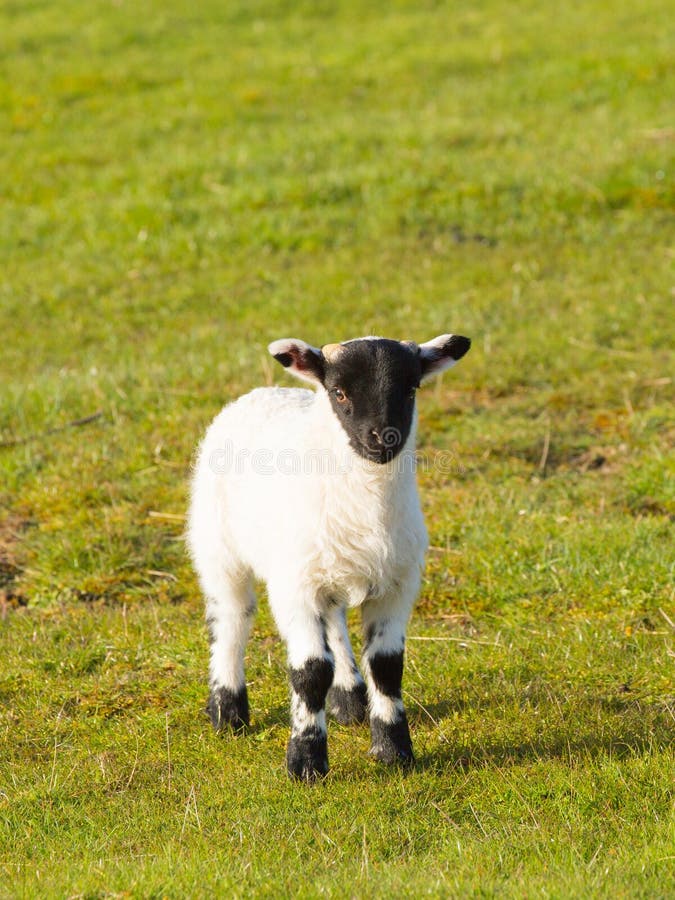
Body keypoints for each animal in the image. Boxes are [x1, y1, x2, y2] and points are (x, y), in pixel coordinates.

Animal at [187, 333, 471, 780]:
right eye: (339, 392)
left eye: (411, 389)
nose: (383, 438)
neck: (366, 505)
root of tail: (264, 391)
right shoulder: (295, 588)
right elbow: (309, 672)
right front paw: (306, 761)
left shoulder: (396, 586)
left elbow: (387, 666)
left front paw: (393, 750)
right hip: (218, 546)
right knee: (231, 618)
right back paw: (227, 711)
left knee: (334, 619)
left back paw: (349, 699)